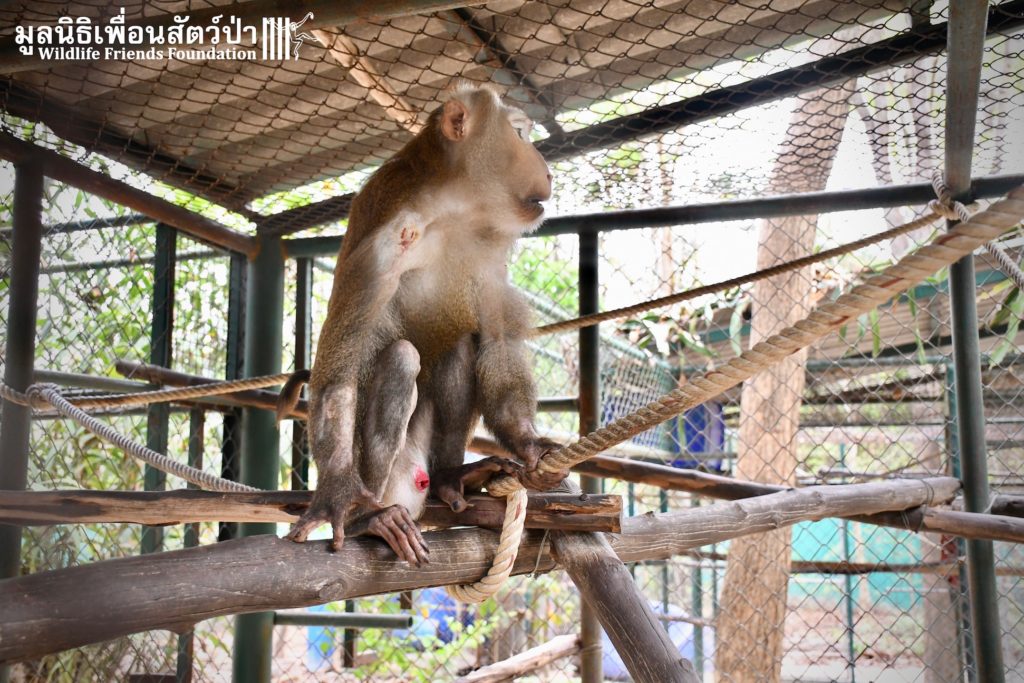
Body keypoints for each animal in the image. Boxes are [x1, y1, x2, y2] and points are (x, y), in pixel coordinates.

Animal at [278, 83, 568, 565]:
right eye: (520, 133)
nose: (547, 169)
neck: (452, 212)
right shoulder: (389, 236)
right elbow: (339, 376)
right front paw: (338, 495)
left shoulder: (490, 251)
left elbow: (497, 341)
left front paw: (528, 442)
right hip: (389, 474)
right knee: (400, 357)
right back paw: (370, 517)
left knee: (460, 346)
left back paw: (451, 475)